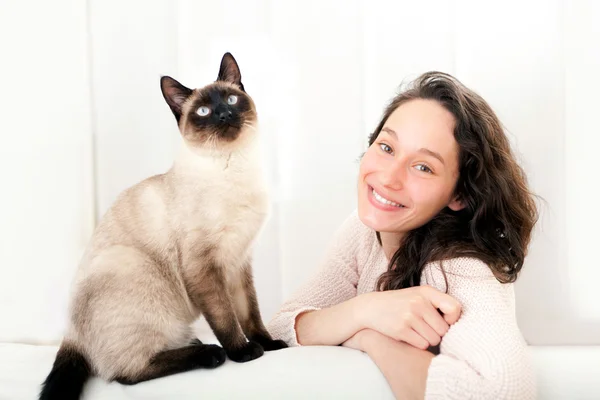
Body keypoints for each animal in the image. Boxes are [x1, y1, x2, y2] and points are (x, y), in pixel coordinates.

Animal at [39, 53, 288, 400]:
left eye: (231, 99)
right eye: (203, 111)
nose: (225, 114)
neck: (233, 166)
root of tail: (70, 332)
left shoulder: (239, 262)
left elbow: (250, 314)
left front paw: (269, 344)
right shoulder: (204, 266)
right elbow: (226, 317)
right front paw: (244, 352)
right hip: (131, 264)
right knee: (125, 374)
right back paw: (210, 353)